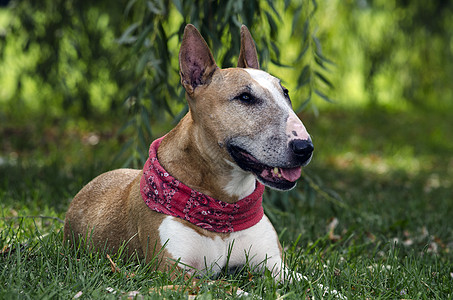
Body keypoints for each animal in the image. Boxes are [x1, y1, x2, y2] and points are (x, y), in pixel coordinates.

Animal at [64, 24, 314, 282]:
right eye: (245, 97)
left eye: (286, 92)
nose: (305, 148)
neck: (224, 209)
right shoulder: (175, 272)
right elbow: (228, 287)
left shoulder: (276, 265)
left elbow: (313, 284)